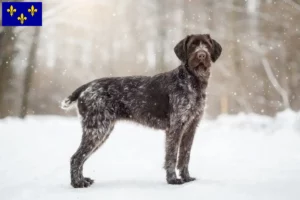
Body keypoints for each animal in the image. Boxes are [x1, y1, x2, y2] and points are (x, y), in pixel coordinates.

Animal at [61, 33, 221, 188]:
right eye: (193, 45)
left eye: (207, 45)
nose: (202, 55)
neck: (193, 81)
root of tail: (87, 86)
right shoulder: (175, 127)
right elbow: (172, 156)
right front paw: (172, 180)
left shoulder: (191, 127)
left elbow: (185, 156)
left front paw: (186, 178)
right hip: (96, 130)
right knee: (76, 157)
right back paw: (77, 183)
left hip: (101, 130)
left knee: (81, 158)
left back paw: (83, 180)